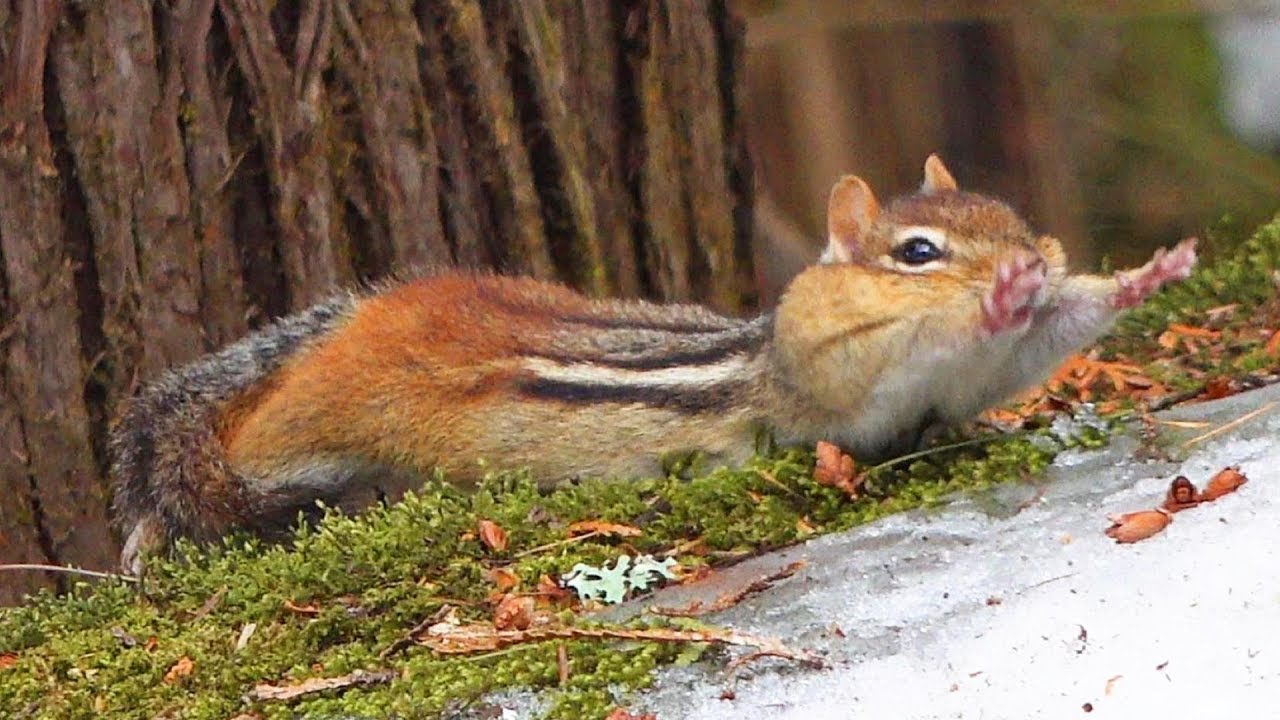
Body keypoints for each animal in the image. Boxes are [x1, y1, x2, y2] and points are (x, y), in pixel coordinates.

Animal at [110, 155, 1198, 572]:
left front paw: (1141, 274)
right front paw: (1008, 295)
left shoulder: (980, 380)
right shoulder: (818, 368)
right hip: (325, 415)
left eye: (1006, 212)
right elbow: (875, 364)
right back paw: (150, 532)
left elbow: (1031, 355)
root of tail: (374, 305)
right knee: (236, 440)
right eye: (916, 252)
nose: (1029, 261)